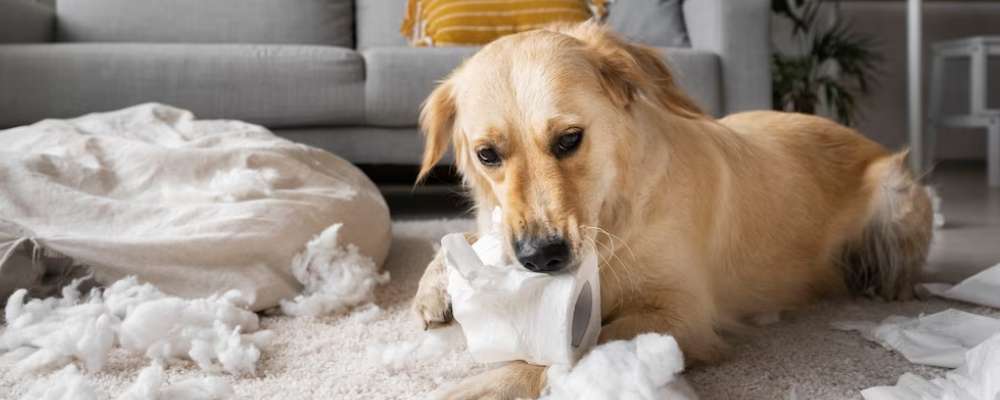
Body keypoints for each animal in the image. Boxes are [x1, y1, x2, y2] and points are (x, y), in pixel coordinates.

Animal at [410, 22, 932, 400]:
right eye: (487, 154)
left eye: (570, 139)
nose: (541, 257)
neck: (613, 214)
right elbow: (460, 241)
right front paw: (434, 289)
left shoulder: (682, 315)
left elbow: (571, 350)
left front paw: (485, 385)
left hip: (899, 191)